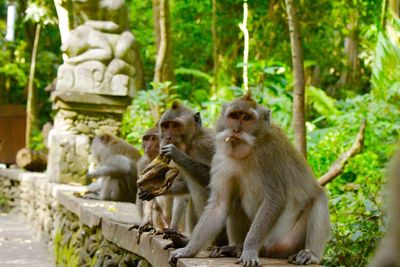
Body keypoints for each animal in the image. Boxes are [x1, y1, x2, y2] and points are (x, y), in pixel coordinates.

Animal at [170, 94, 330, 266]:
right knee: (234, 200)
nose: (236, 130)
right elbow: (220, 204)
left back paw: (310, 254)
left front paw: (249, 250)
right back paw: (236, 247)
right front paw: (188, 250)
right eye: (234, 116)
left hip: (286, 243)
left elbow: (274, 200)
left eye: (247, 118)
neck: (247, 152)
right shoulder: (221, 158)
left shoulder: (270, 153)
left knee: (318, 199)